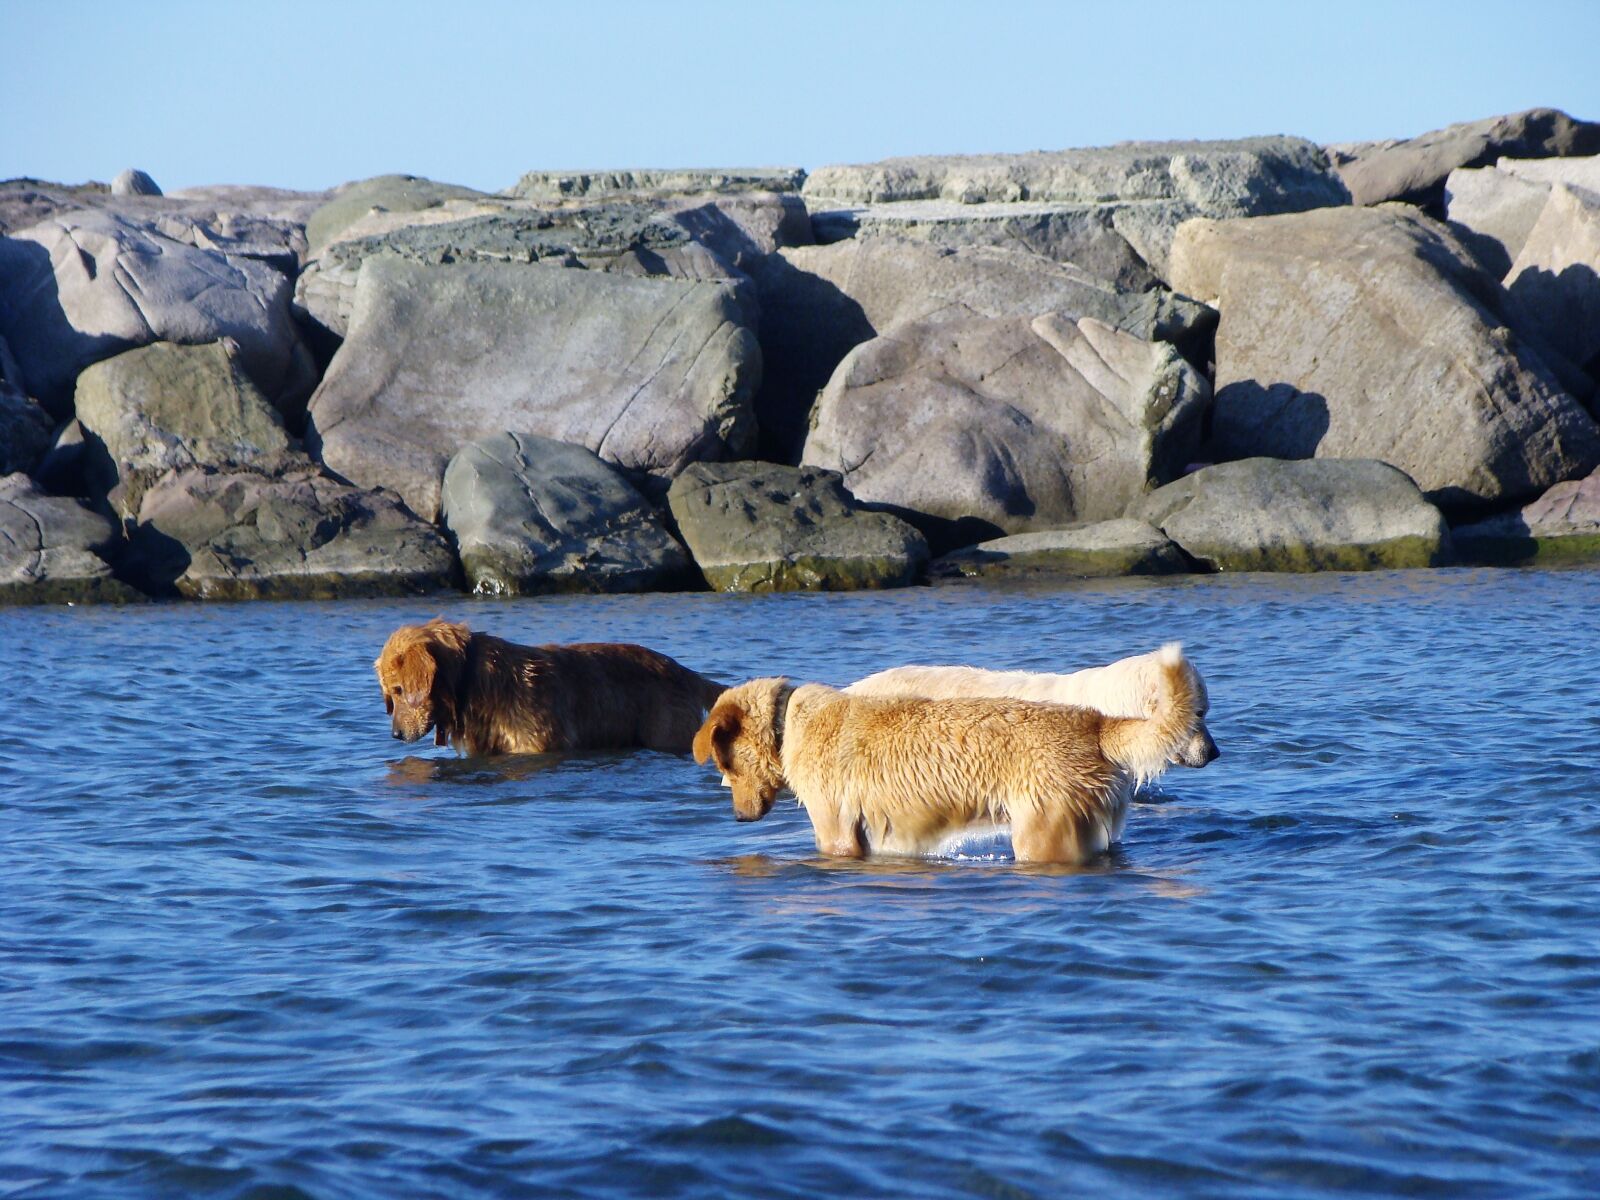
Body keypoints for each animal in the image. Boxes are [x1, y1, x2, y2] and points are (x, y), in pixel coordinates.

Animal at [694, 649, 1203, 864]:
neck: (787, 724)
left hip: (1042, 833)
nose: (738, 818)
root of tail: (1096, 724)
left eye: (723, 764)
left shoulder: (836, 832)